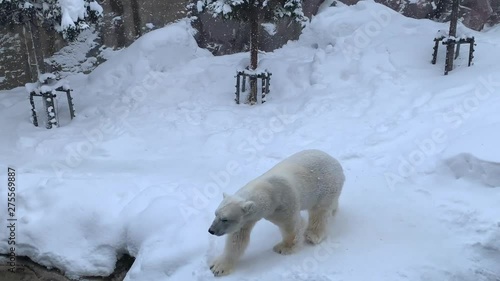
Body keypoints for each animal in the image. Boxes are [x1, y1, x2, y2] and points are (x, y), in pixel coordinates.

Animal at [207, 149, 344, 276]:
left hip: (326, 186)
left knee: (320, 212)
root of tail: (335, 161)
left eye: (225, 219)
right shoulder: (247, 219)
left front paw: (283, 248)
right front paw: (218, 267)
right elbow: (237, 238)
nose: (211, 230)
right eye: (216, 214)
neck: (266, 190)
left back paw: (312, 235)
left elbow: (292, 226)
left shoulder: (283, 204)